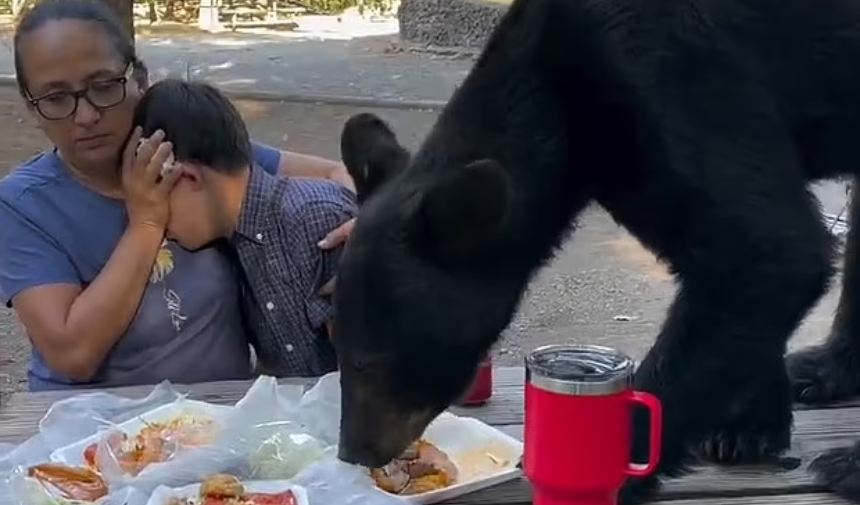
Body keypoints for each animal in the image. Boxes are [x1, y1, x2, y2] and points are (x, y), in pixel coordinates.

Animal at [328, 0, 860, 496]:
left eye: (370, 361)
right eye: (338, 343)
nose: (353, 450)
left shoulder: (674, 75)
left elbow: (765, 250)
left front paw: (622, 472)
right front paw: (748, 425)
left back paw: (846, 464)